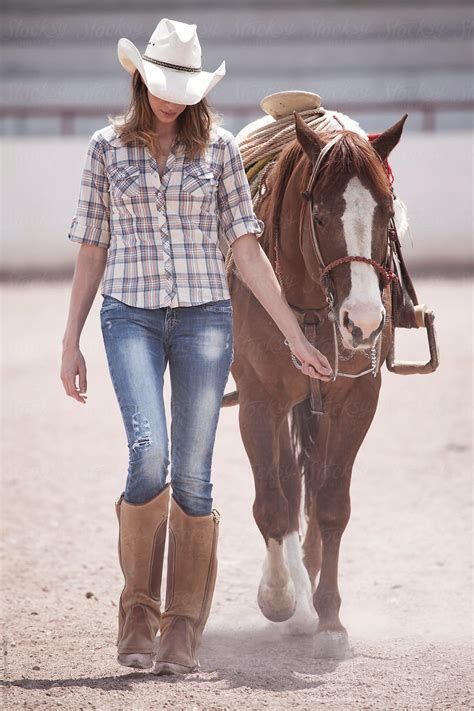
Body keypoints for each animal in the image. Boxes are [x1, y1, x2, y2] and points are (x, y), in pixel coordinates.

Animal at [224, 111, 410, 660]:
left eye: (385, 212)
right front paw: (280, 598)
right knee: (286, 483)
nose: (364, 322)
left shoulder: (356, 400)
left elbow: (330, 505)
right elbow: (272, 503)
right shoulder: (259, 403)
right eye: (322, 216)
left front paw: (329, 619)